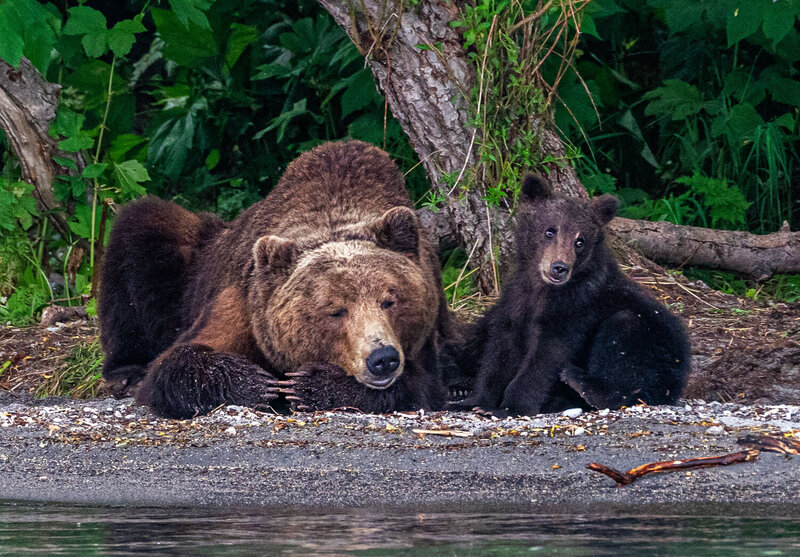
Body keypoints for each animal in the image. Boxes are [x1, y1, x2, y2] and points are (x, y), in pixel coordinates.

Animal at [99, 140, 450, 419]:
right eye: (336, 310)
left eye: (390, 300)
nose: (382, 358)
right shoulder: (246, 305)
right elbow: (174, 364)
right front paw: (257, 383)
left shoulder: (424, 331)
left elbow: (421, 387)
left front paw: (312, 385)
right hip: (192, 259)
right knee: (142, 226)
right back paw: (126, 373)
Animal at [448, 175, 691, 416]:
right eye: (550, 231)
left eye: (580, 241)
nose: (559, 267)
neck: (542, 288)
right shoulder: (516, 300)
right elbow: (499, 352)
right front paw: (474, 401)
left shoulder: (575, 306)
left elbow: (547, 356)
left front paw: (510, 407)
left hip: (659, 351)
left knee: (626, 330)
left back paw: (583, 383)